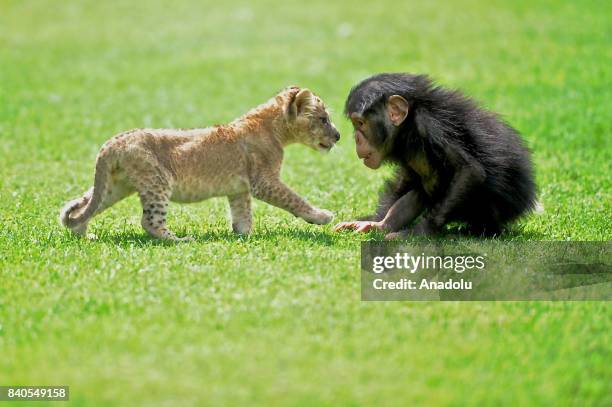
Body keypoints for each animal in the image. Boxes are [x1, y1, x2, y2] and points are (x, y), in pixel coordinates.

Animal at [332, 73, 536, 239]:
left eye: (360, 123)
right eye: (355, 124)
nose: (356, 138)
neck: (408, 127)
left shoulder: (431, 125)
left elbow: (469, 171)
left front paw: (420, 233)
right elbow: (410, 179)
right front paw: (379, 224)